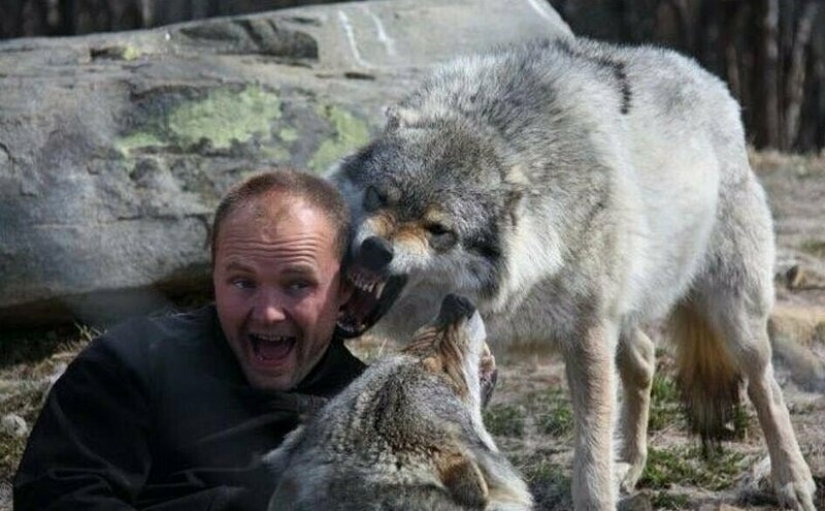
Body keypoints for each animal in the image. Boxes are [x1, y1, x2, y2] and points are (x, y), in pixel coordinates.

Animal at [329, 38, 816, 510]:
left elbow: (591, 461)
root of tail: (711, 80)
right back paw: (631, 464)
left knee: (766, 387)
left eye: (438, 230)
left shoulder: (588, 335)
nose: (375, 251)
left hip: (735, 316)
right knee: (644, 359)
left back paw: (793, 481)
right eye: (378, 196)